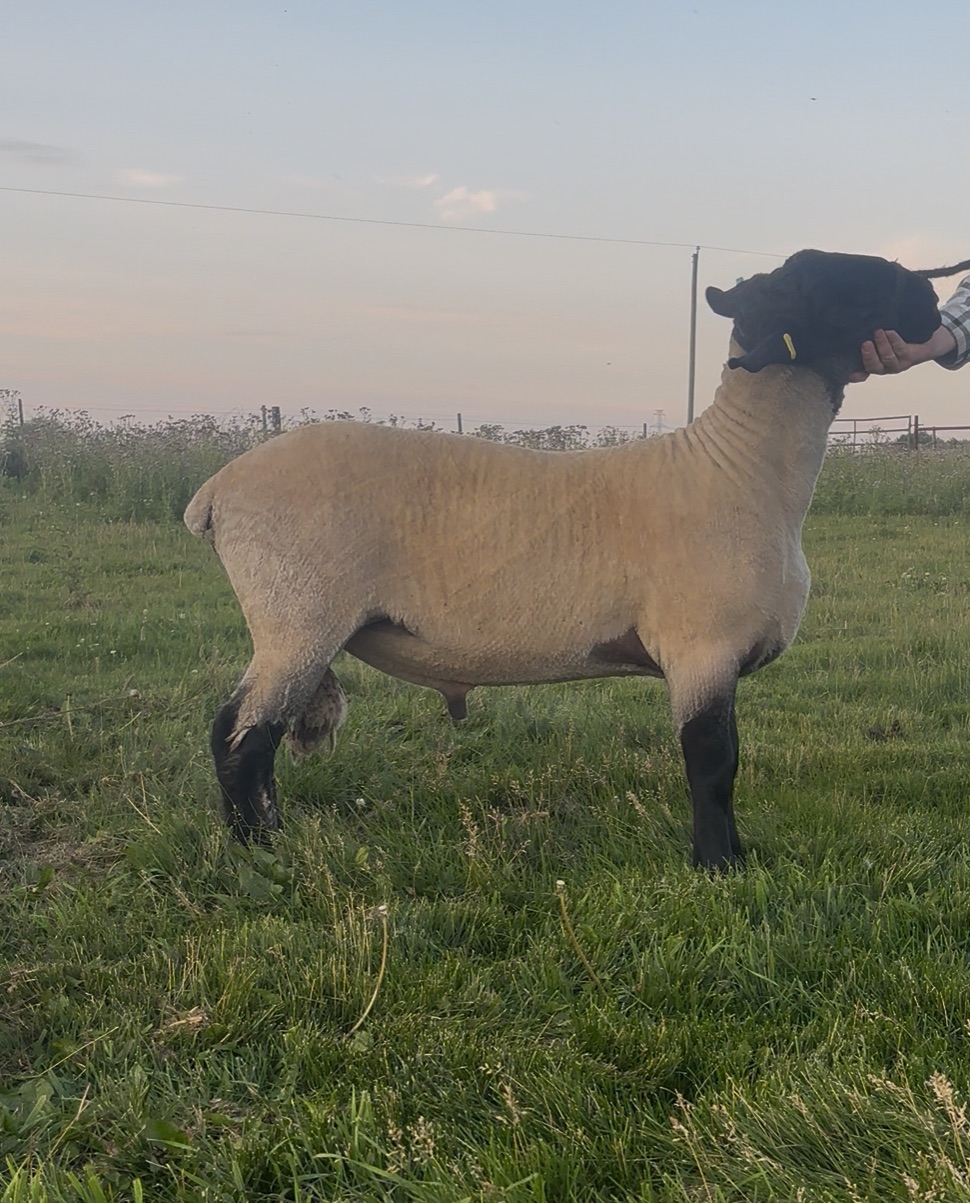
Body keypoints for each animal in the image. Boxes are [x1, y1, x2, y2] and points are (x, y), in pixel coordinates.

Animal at [184, 248, 942, 870]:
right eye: (832, 284)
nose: (932, 300)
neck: (740, 467)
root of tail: (216, 491)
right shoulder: (701, 647)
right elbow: (712, 761)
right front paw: (717, 866)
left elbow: (726, 759)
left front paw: (738, 854)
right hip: (296, 614)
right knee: (241, 736)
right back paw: (261, 849)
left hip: (290, 622)